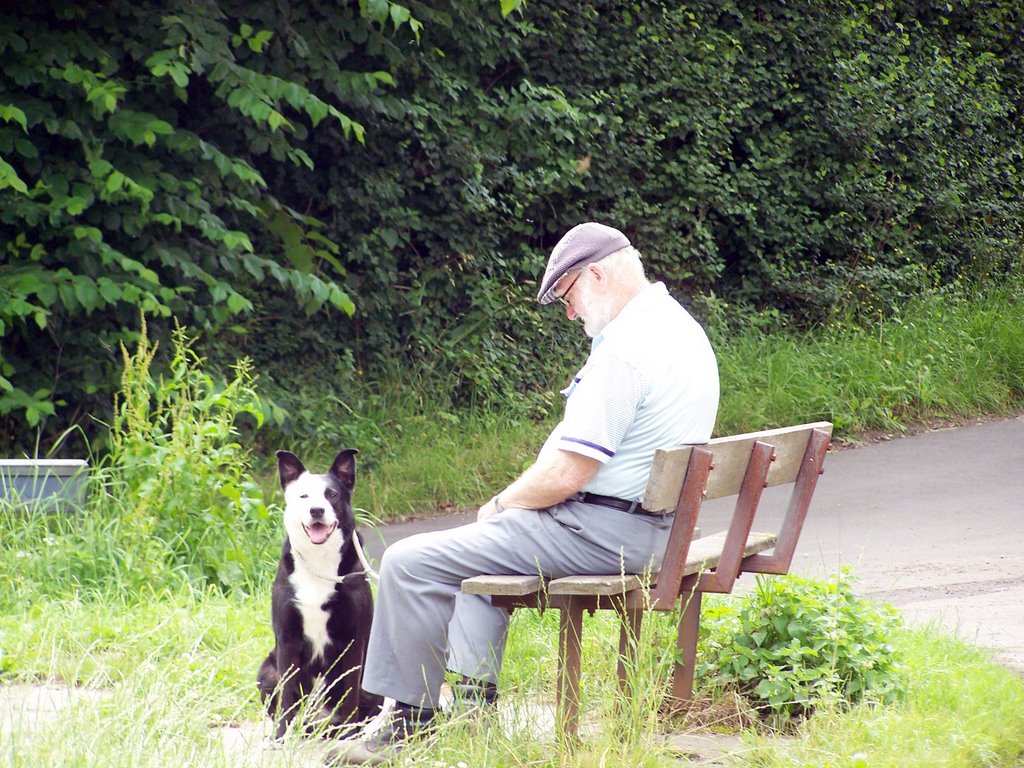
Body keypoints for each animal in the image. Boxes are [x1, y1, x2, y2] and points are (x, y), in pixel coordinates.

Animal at [256, 450, 385, 741]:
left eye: (332, 495)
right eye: (303, 496)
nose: (317, 510)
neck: (319, 561)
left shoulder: (354, 640)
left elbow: (350, 693)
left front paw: (348, 735)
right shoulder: (287, 639)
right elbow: (287, 696)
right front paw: (281, 736)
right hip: (266, 671)